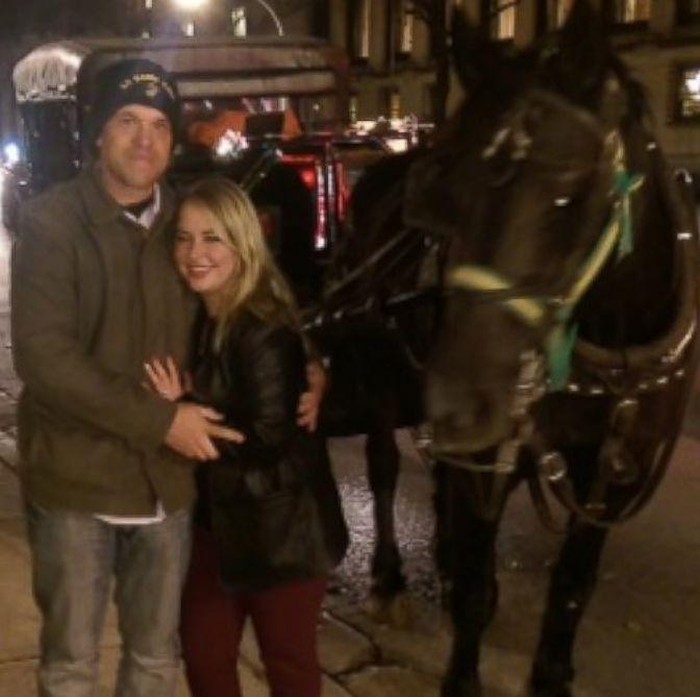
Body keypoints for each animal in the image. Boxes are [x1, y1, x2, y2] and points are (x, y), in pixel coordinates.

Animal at [314, 1, 700, 695]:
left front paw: (551, 674)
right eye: (442, 190)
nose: (463, 402)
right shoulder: (485, 451)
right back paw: (390, 575)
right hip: (383, 369)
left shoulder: (614, 470)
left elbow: (571, 587)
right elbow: (475, 588)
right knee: (385, 467)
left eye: (569, 194)